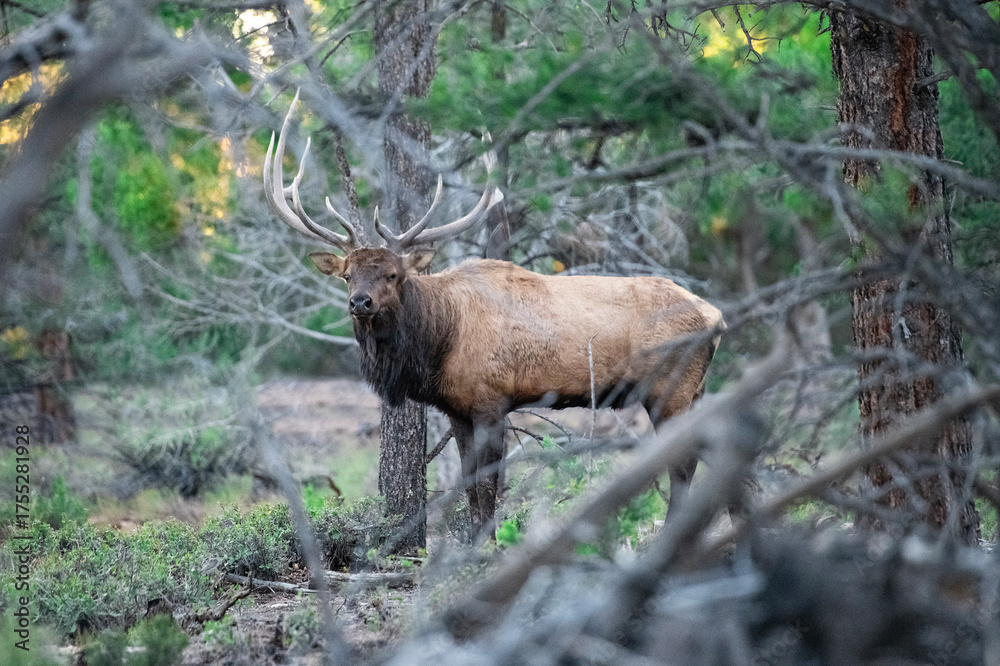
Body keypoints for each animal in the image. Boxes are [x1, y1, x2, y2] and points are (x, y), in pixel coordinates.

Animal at [263, 93, 725, 538]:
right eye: (347, 274)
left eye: (393, 274)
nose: (361, 302)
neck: (438, 343)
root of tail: (716, 316)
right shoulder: (457, 408)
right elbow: (470, 486)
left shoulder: (491, 399)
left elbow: (488, 485)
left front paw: (487, 547)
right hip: (694, 390)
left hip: (670, 388)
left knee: (683, 464)